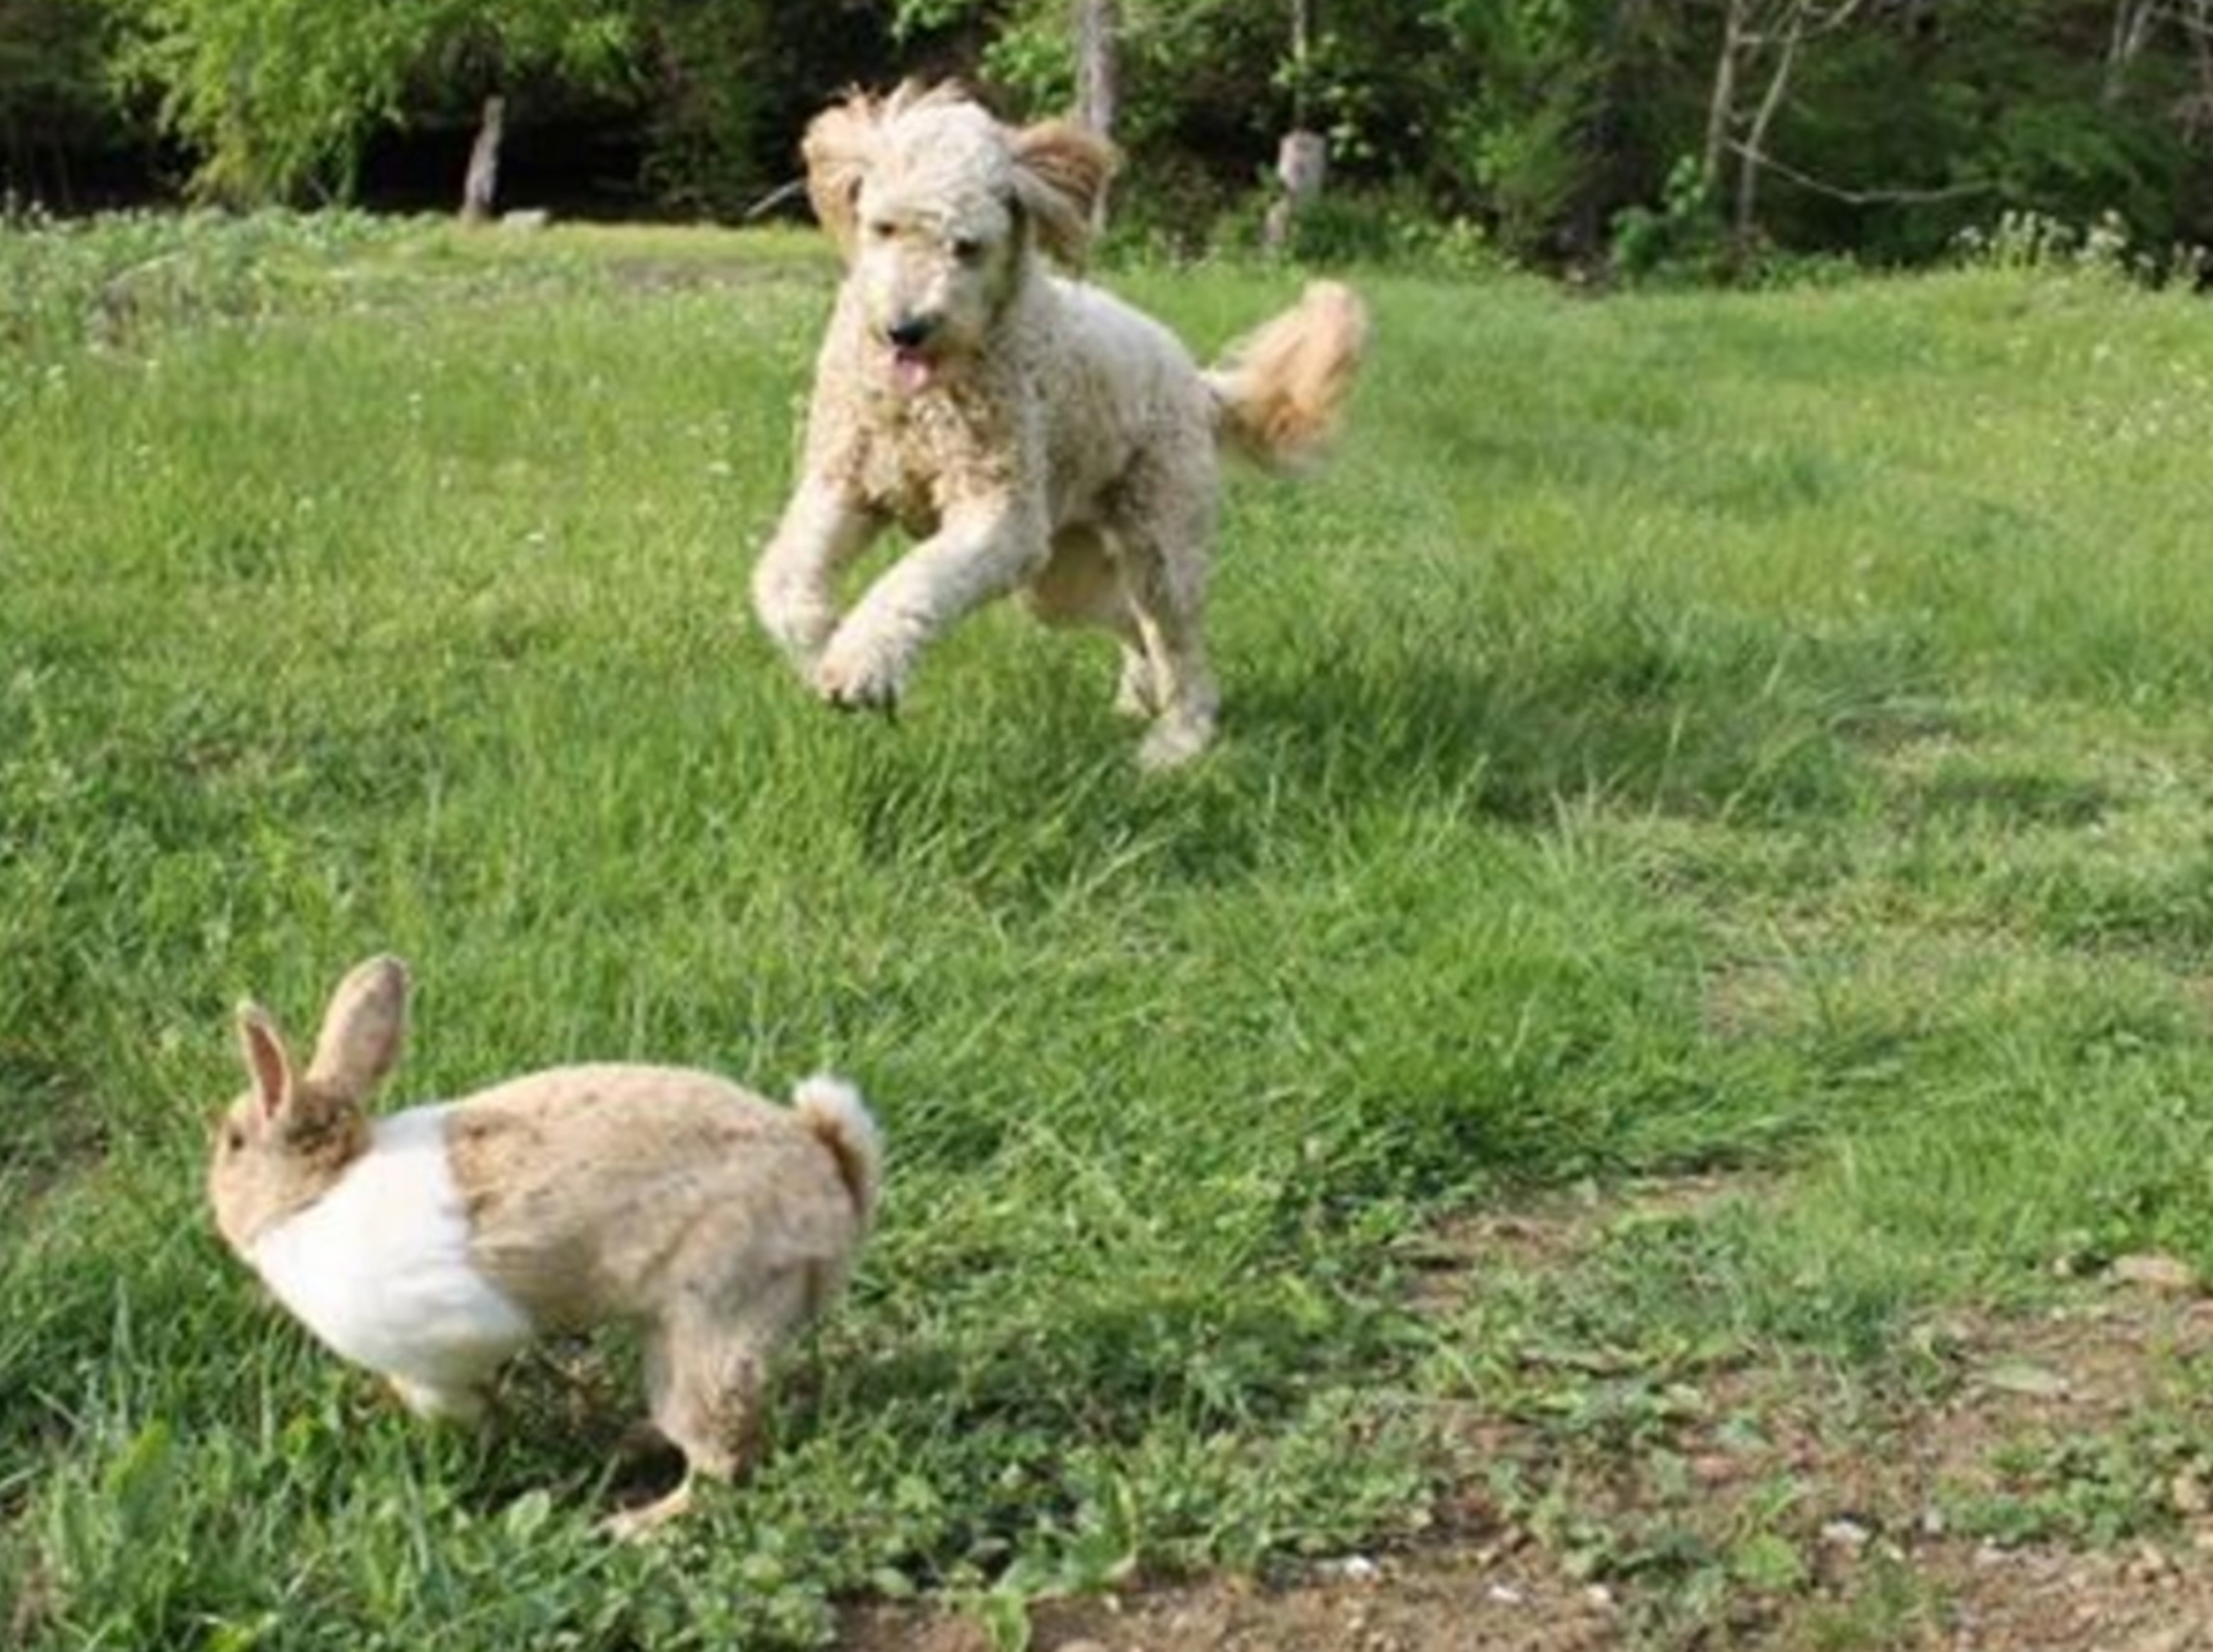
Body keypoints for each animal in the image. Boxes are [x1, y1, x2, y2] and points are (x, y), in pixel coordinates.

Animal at [206, 954, 882, 1535]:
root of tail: (836, 1173)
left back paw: (632, 1525)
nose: (215, 1202)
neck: (314, 1194)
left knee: (720, 1459)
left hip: (711, 1328)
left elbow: (453, 1399)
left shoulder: (437, 1353)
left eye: (234, 1144)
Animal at [752, 82, 1369, 769]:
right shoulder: (847, 485)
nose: (904, 329)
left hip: (1156, 545)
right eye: (883, 227)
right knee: (1129, 623)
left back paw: (1176, 742)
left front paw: (862, 662)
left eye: (966, 246)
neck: (922, 400)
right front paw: (822, 645)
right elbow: (782, 580)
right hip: (1062, 574)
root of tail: (1197, 381)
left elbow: (915, 582)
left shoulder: (1003, 518)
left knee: (1182, 650)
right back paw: (1140, 695)